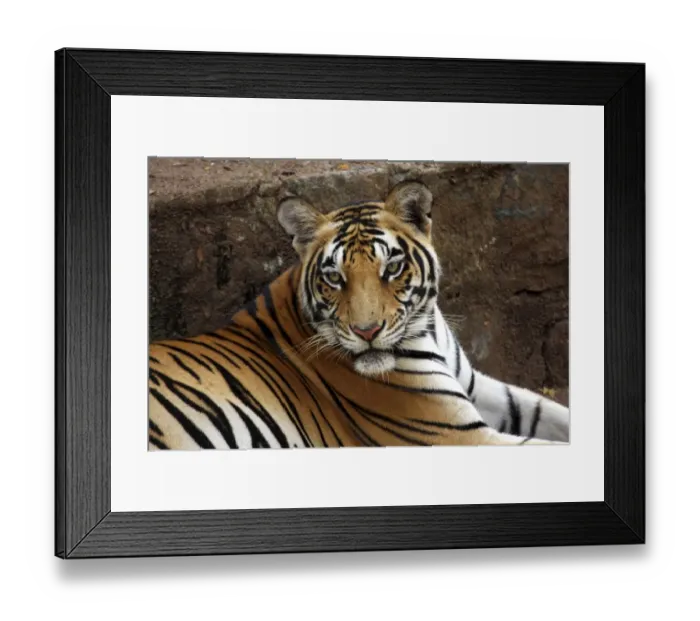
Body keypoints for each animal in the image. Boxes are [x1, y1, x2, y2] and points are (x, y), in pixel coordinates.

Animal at [148, 181, 570, 450]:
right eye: (334, 277)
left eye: (392, 268)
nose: (367, 331)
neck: (427, 330)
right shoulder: (455, 434)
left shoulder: (476, 386)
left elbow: (551, 412)